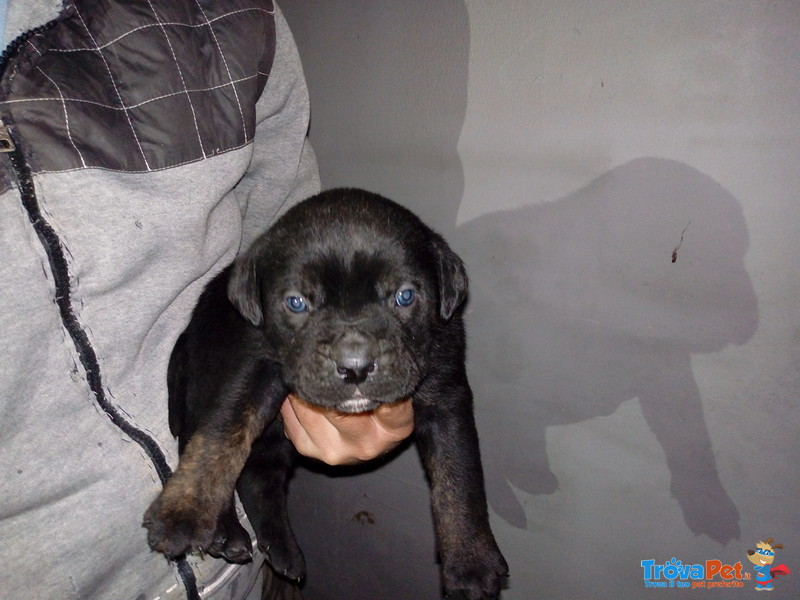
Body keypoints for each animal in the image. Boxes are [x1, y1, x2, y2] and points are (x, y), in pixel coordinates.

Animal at [144, 190, 506, 600]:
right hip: (200, 387)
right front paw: (182, 513)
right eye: (296, 302)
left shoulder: (446, 394)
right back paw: (226, 531)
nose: (355, 367)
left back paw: (281, 548)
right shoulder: (251, 368)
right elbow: (220, 436)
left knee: (259, 477)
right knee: (199, 441)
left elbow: (459, 476)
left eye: (405, 296)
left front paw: (471, 563)